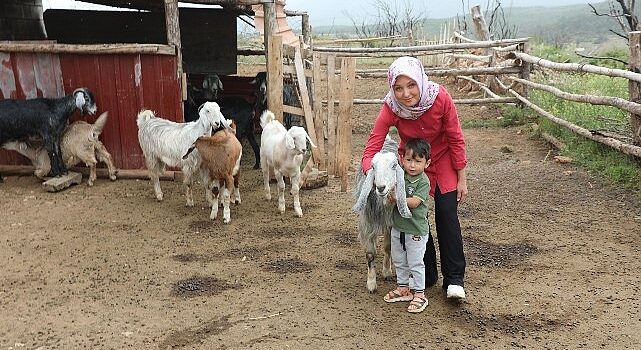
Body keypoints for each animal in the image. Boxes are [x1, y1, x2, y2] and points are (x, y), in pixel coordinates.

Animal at [350, 135, 410, 294]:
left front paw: (387, 271)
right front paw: (371, 283)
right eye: (373, 167)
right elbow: (370, 254)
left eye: (394, 165)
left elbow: (388, 247)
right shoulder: (367, 224)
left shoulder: (390, 224)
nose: (381, 187)